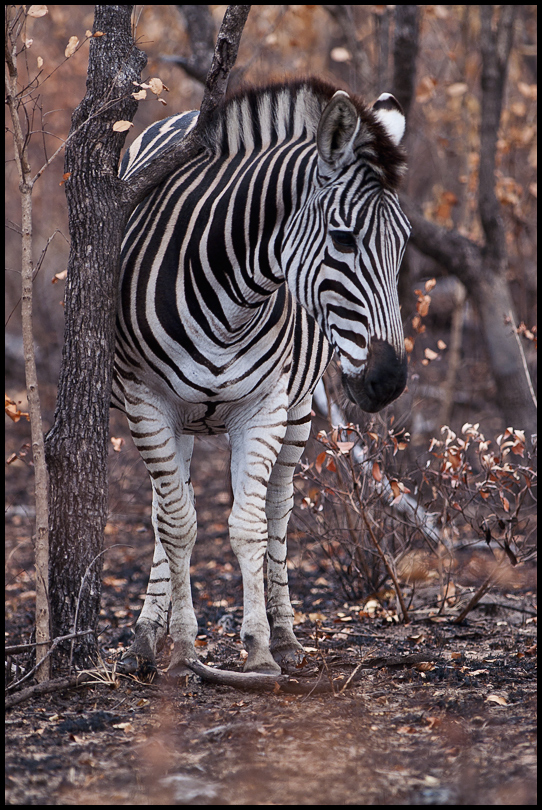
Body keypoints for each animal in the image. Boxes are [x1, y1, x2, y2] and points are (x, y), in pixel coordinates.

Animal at [115, 79, 410, 676]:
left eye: (405, 242)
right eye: (343, 239)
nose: (389, 381)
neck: (229, 299)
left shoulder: (266, 406)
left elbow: (249, 526)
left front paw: (257, 648)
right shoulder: (145, 401)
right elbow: (177, 525)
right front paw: (183, 648)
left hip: (298, 413)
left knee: (277, 512)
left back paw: (288, 636)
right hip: (173, 420)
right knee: (165, 510)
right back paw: (146, 636)